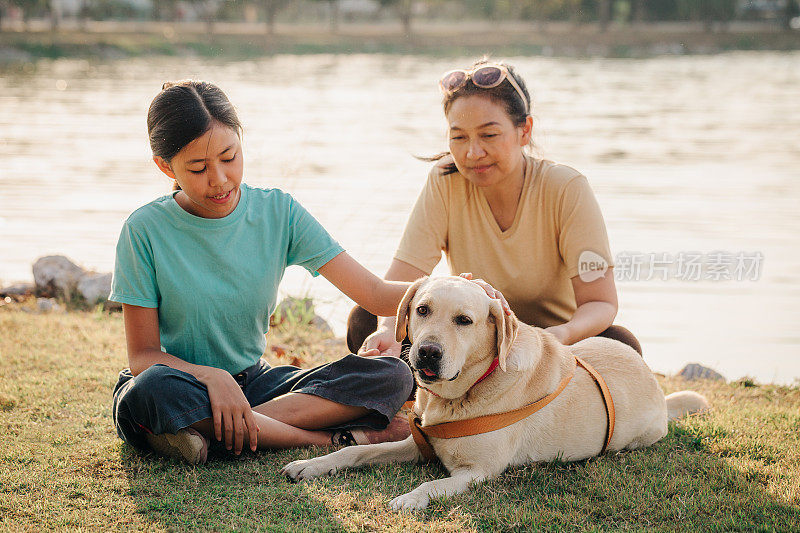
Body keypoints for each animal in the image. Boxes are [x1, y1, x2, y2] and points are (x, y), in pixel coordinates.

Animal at [284, 276, 708, 510]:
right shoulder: (417, 443)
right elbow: (356, 451)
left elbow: (433, 484)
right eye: (422, 310)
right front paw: (312, 465)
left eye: (464, 321)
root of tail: (653, 379)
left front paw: (411, 498)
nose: (427, 352)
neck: (459, 394)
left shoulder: (478, 472)